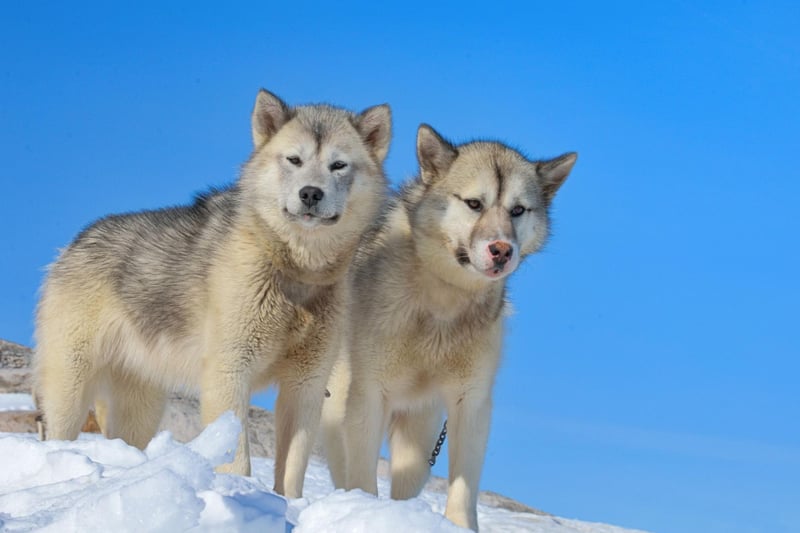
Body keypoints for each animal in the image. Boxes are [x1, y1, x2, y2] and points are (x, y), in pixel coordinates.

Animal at [34, 87, 390, 494]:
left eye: (338, 165)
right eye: (294, 159)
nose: (310, 194)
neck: (294, 271)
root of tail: (73, 244)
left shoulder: (306, 385)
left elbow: (291, 472)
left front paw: (288, 504)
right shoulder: (229, 372)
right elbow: (239, 460)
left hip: (141, 408)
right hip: (69, 389)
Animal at [322, 123, 580, 528]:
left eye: (517, 210)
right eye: (474, 203)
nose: (502, 250)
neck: (442, 303)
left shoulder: (470, 403)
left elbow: (462, 487)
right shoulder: (367, 395)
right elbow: (362, 476)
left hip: (420, 433)